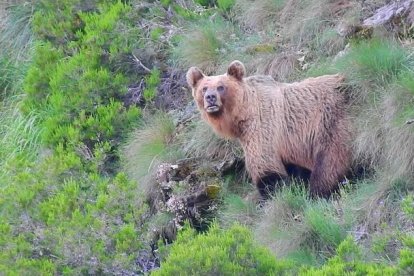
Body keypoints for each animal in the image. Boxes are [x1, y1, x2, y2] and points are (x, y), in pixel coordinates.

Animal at [188, 60, 352, 198]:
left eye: (221, 87)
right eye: (204, 88)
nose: (210, 98)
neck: (243, 115)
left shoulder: (263, 127)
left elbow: (266, 167)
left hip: (332, 119)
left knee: (329, 160)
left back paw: (318, 192)